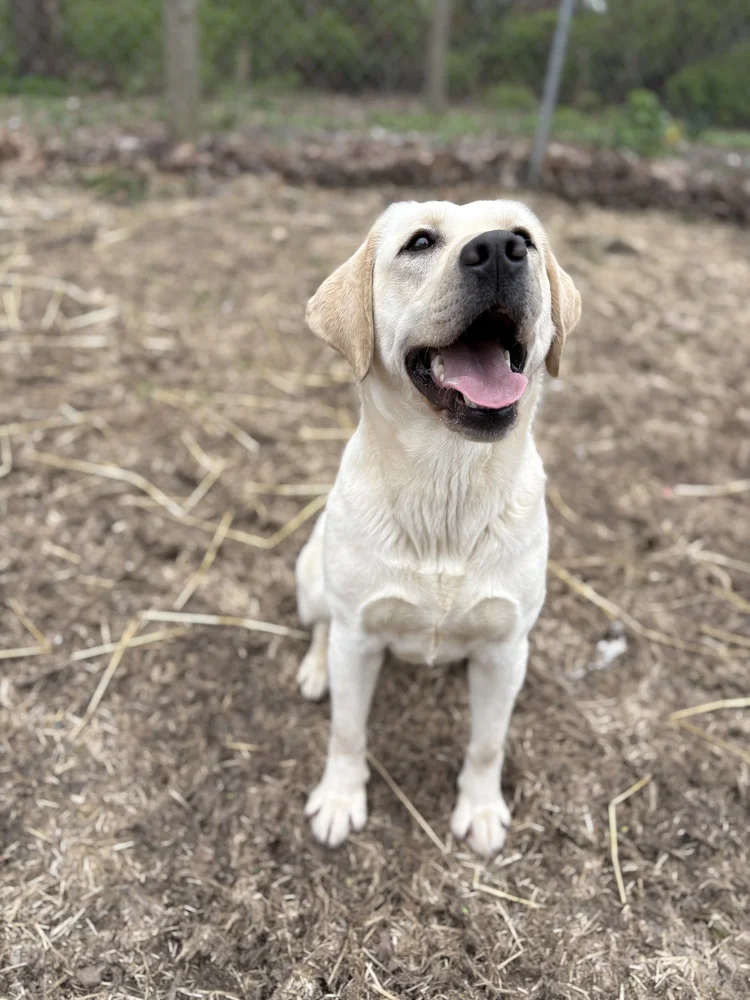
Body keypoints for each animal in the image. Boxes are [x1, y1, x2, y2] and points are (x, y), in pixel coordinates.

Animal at [295, 199, 581, 856]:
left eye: (526, 238)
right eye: (420, 242)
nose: (501, 249)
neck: (445, 489)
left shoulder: (506, 650)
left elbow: (487, 742)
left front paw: (480, 809)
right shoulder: (358, 634)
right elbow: (347, 731)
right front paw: (340, 799)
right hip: (311, 577)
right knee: (320, 627)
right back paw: (316, 670)